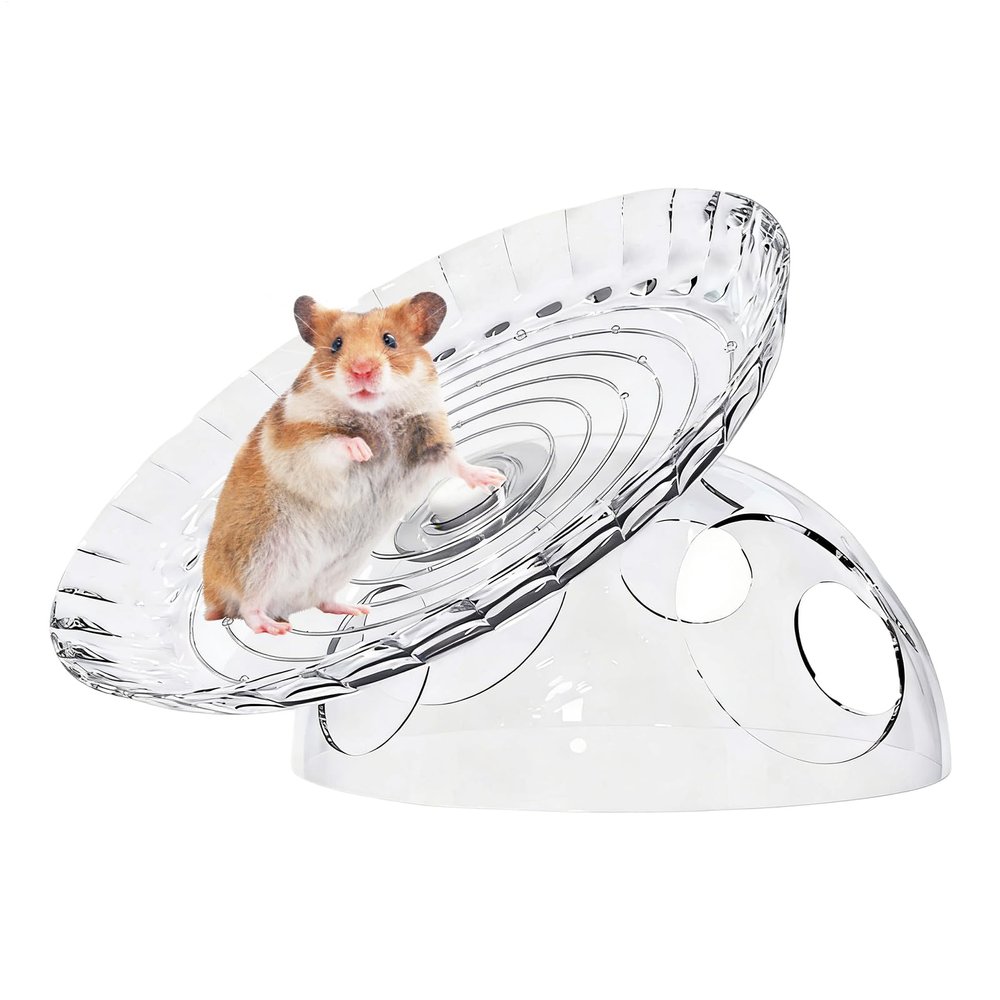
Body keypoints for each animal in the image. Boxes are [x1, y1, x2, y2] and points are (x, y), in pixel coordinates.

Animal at [201, 291, 505, 636]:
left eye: (390, 340)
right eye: (336, 344)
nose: (362, 370)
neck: (376, 412)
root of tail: (212, 597)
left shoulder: (429, 439)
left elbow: (455, 462)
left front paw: (493, 478)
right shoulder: (300, 442)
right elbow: (334, 443)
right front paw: (364, 450)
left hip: (331, 572)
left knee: (321, 602)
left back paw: (358, 609)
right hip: (258, 560)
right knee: (248, 608)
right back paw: (275, 629)